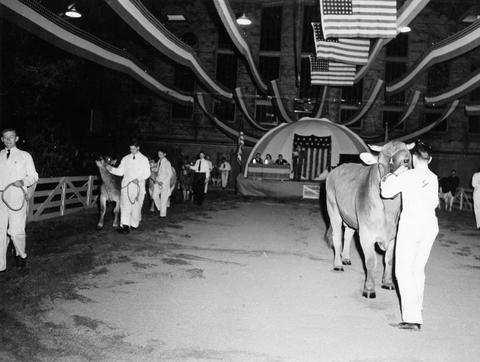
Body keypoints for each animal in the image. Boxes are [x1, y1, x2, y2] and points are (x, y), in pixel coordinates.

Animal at [324, 140, 414, 298]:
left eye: (406, 160)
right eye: (380, 163)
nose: (386, 182)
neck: (388, 211)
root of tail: (336, 169)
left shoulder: (394, 236)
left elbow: (389, 260)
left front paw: (387, 282)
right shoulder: (366, 234)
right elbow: (371, 261)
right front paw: (369, 289)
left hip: (350, 216)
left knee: (348, 234)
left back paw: (346, 258)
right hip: (333, 208)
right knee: (337, 237)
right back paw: (338, 264)